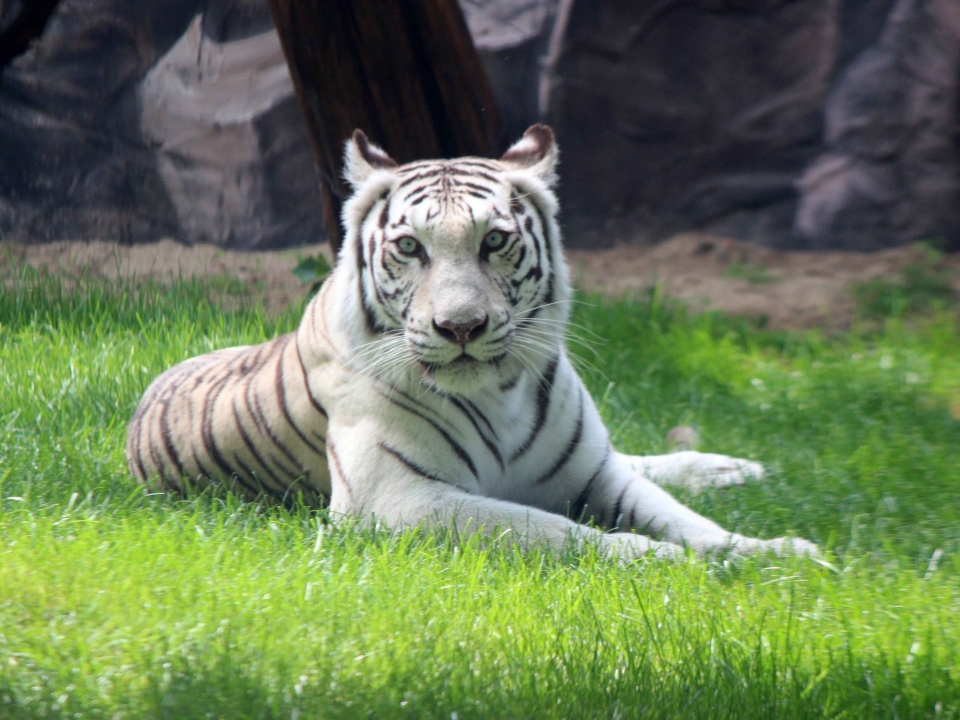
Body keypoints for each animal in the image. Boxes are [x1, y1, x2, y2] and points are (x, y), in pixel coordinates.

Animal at [127, 126, 816, 560]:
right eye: (410, 247)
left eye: (494, 241)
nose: (460, 327)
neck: (498, 392)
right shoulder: (398, 499)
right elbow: (550, 529)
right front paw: (657, 561)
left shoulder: (596, 473)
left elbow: (685, 520)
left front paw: (771, 553)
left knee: (640, 461)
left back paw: (734, 468)